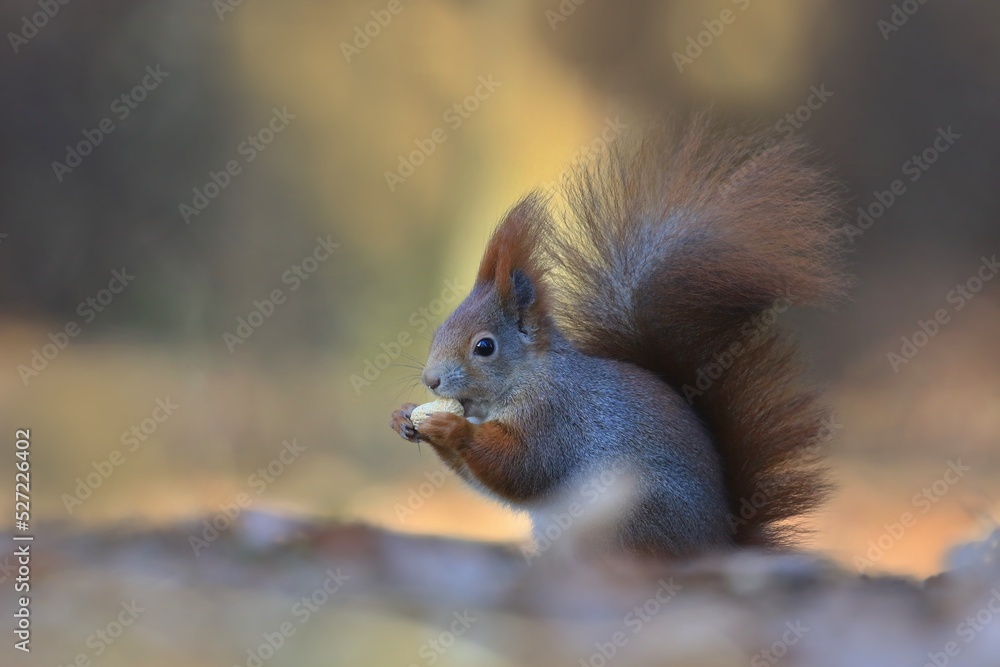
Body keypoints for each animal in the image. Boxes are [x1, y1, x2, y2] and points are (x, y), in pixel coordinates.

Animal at [390, 119, 847, 557]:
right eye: (440, 329)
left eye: (484, 347)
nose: (431, 380)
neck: (528, 378)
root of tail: (716, 547)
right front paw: (404, 417)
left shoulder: (556, 418)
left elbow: (524, 468)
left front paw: (451, 428)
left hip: (632, 512)